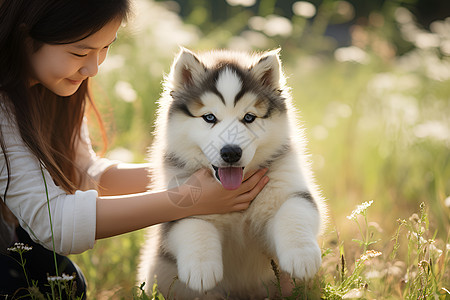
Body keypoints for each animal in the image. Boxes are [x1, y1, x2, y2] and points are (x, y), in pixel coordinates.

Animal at [139, 48, 326, 298]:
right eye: (209, 117)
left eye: (249, 117)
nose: (231, 152)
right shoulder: (181, 202)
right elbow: (195, 227)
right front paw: (201, 268)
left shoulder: (289, 188)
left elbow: (294, 211)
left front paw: (302, 255)